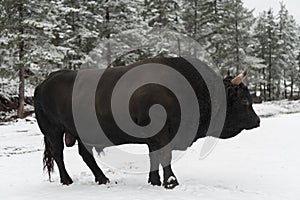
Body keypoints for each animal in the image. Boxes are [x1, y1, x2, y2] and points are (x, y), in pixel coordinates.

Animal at [34, 56, 260, 189]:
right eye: (244, 101)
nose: (257, 121)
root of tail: (44, 82)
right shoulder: (161, 134)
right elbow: (164, 156)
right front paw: (171, 182)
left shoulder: (154, 138)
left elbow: (155, 157)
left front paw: (155, 180)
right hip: (53, 131)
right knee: (58, 154)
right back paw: (67, 180)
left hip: (81, 134)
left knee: (85, 155)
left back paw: (102, 178)